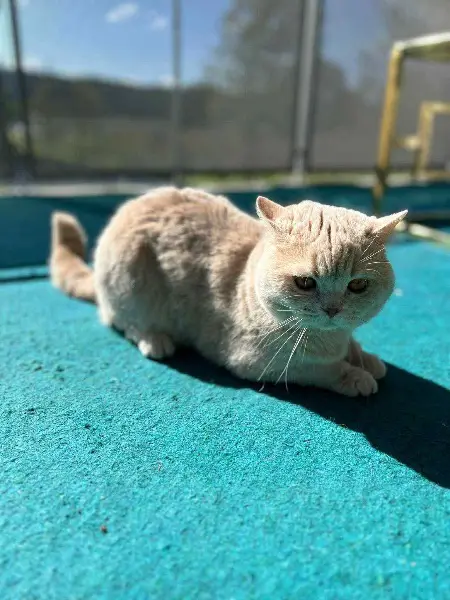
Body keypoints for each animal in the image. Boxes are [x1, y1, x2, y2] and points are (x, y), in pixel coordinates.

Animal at [50, 186, 406, 397]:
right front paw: (355, 376)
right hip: (129, 288)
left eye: (357, 285)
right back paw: (155, 340)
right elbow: (323, 369)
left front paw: (366, 359)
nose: (333, 310)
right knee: (123, 322)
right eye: (305, 283)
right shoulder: (261, 363)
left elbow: (352, 348)